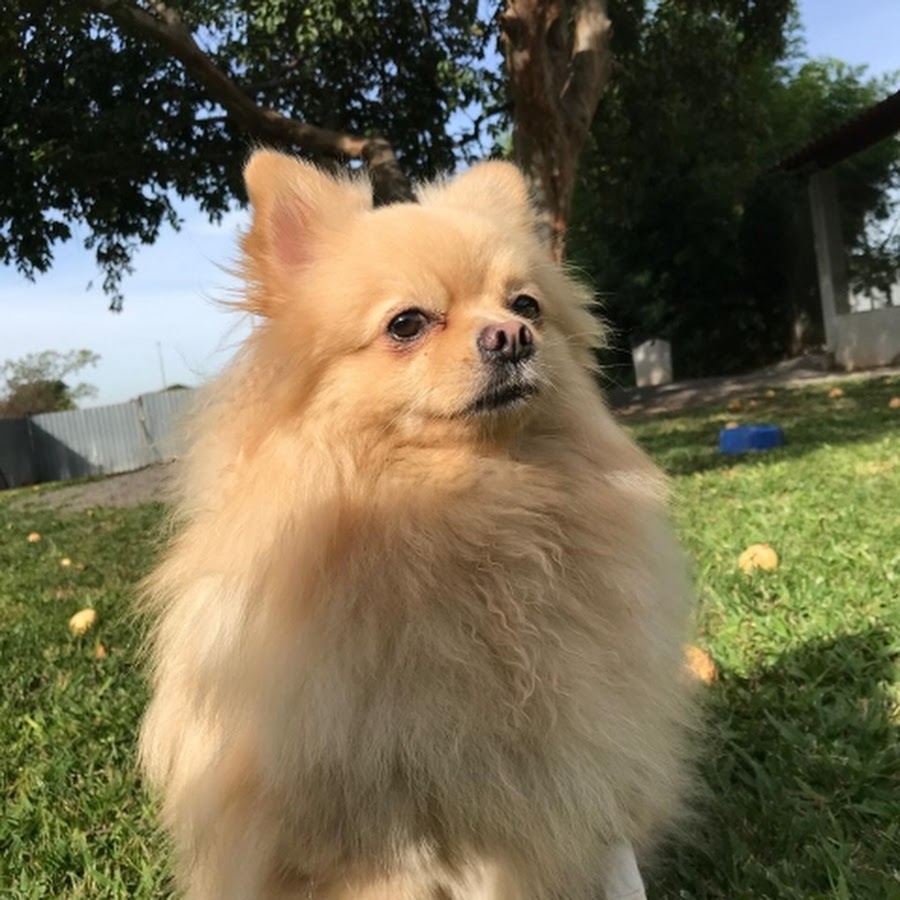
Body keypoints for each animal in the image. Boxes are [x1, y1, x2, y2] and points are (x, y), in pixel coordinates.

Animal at [138, 150, 695, 899]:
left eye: (527, 306)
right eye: (407, 323)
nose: (512, 336)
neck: (473, 506)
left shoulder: (581, 765)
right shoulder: (383, 835)